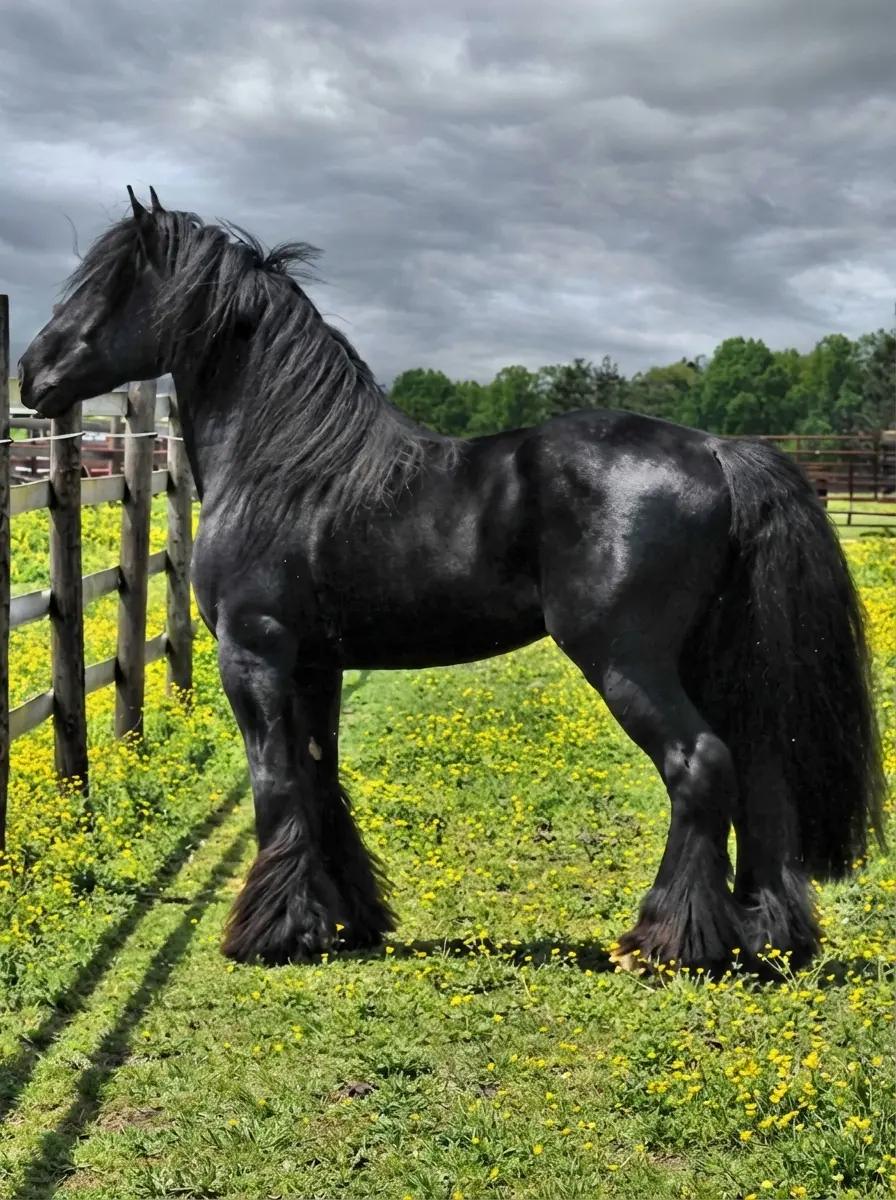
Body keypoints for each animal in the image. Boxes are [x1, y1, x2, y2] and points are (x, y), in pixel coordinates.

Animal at [17, 188, 884, 974]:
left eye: (110, 284)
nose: (30, 373)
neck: (287, 468)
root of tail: (716, 451)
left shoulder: (254, 654)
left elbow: (275, 782)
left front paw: (272, 933)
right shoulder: (316, 663)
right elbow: (318, 776)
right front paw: (344, 921)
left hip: (626, 660)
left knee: (699, 765)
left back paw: (666, 942)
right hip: (710, 659)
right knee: (760, 773)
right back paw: (767, 936)